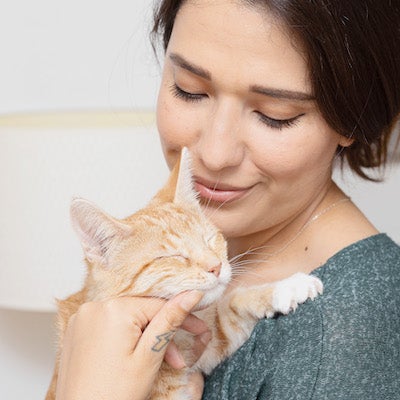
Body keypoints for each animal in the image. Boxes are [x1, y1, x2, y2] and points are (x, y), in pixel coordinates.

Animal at [46, 148, 322, 398]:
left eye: (209, 239)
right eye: (174, 257)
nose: (216, 266)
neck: (177, 339)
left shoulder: (207, 345)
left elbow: (231, 305)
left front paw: (287, 287)